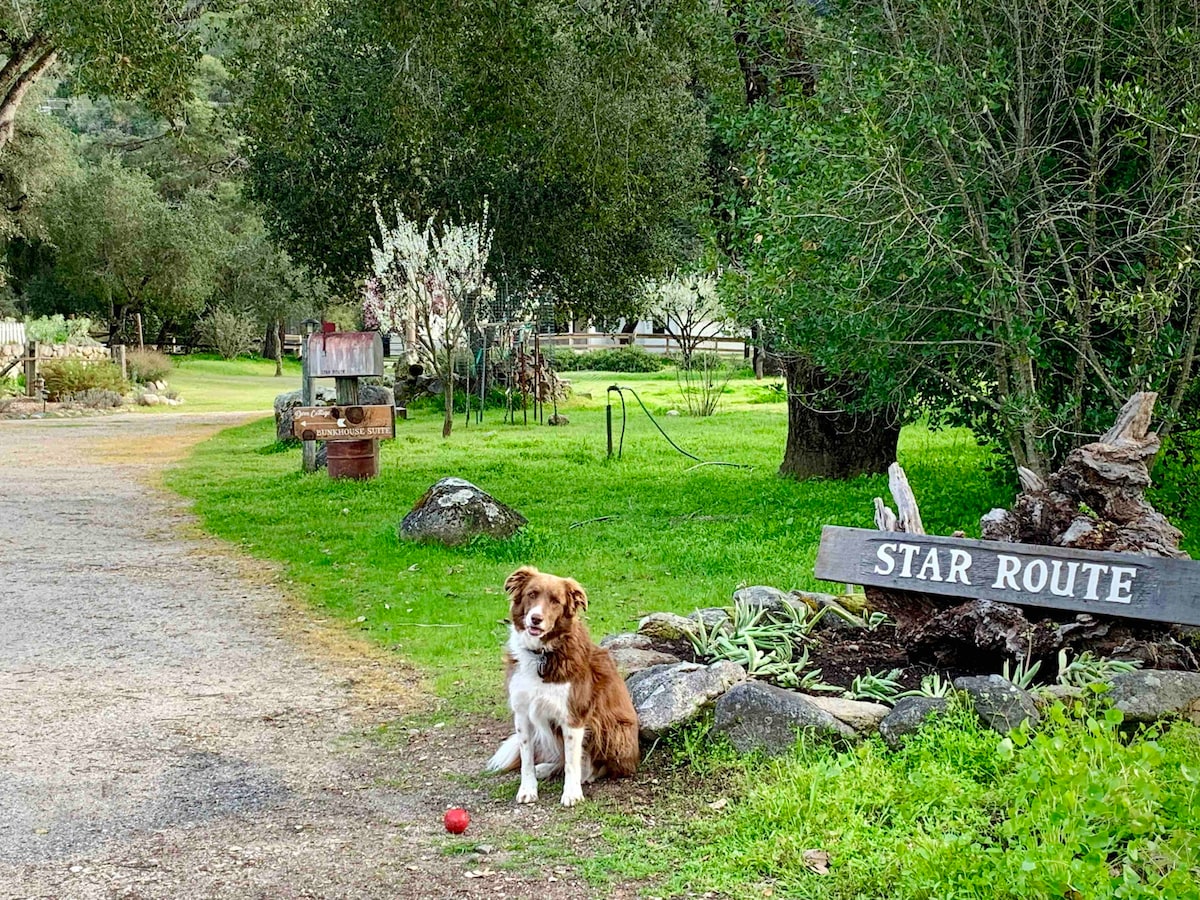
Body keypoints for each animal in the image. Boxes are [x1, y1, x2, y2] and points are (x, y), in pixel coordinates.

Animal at [484, 566, 643, 806]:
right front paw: (528, 789)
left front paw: (572, 793)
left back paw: (587, 775)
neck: (542, 654)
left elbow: (571, 762)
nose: (536, 619)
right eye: (532, 594)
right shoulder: (522, 714)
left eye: (556, 601)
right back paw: (545, 768)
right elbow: (526, 758)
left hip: (612, 728)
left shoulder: (573, 716)